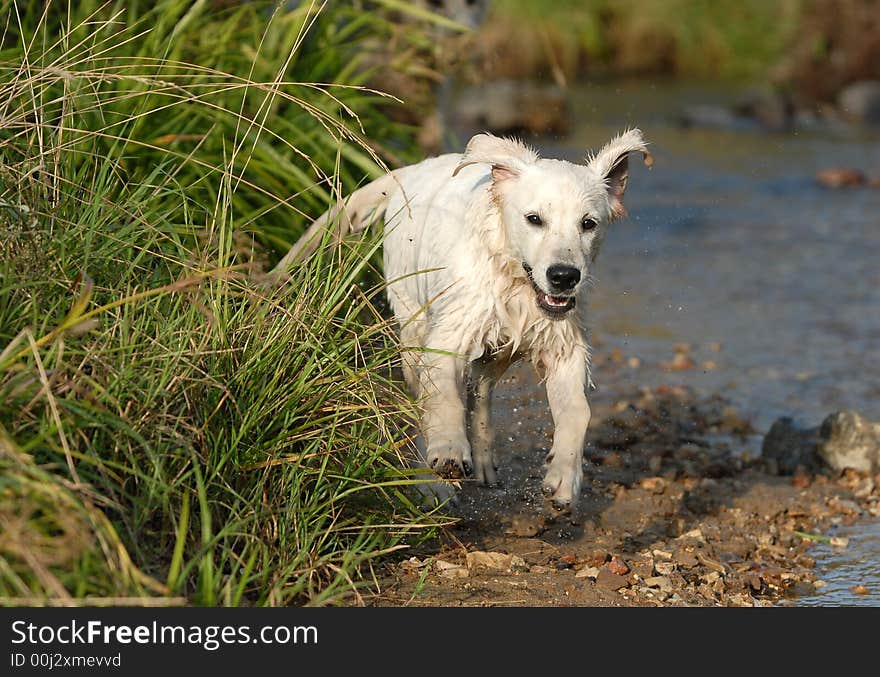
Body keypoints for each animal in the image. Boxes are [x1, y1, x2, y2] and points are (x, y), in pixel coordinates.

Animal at [276, 131, 652, 508]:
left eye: (588, 224)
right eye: (534, 219)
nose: (564, 276)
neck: (513, 282)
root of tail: (411, 171)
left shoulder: (564, 346)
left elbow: (578, 412)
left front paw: (564, 476)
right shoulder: (448, 336)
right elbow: (444, 398)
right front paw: (448, 451)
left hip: (495, 351)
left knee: (480, 393)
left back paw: (484, 460)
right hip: (413, 322)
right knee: (424, 401)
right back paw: (431, 482)